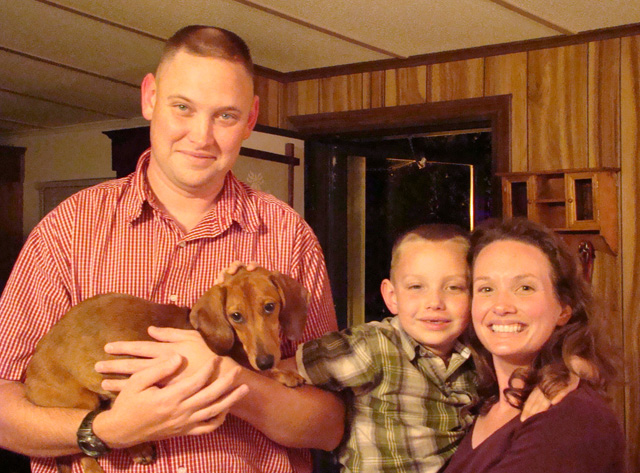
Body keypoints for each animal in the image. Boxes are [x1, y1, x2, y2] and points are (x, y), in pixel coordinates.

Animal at [24, 266, 309, 473]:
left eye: (270, 307)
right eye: (236, 316)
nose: (266, 360)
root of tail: (28, 379)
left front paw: (282, 372)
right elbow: (250, 367)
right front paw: (279, 373)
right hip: (84, 399)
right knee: (82, 452)